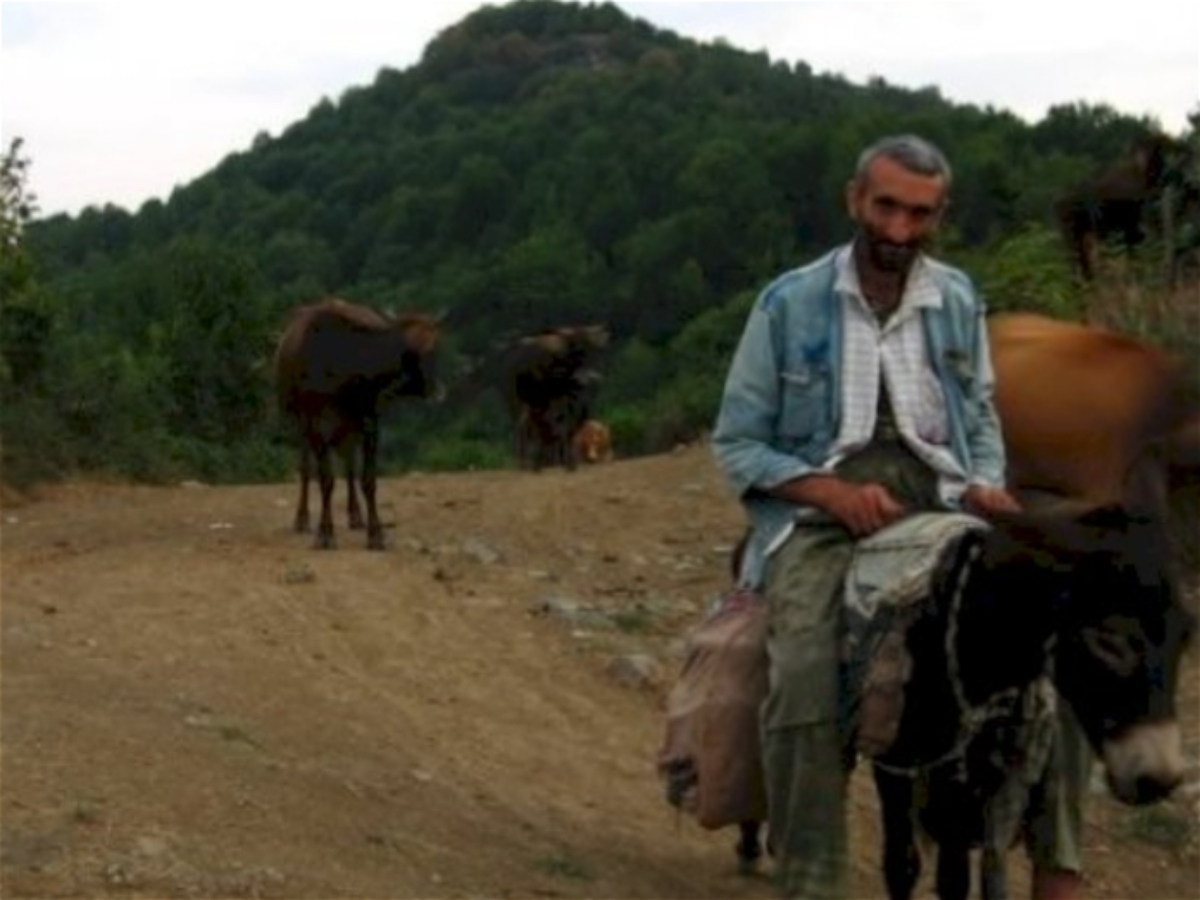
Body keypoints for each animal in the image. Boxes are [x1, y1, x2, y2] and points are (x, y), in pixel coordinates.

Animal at [274, 300, 444, 549]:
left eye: (432, 348)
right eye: (404, 350)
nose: (433, 389)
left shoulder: (369, 421)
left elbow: (368, 480)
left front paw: (376, 533)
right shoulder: (314, 422)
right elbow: (325, 479)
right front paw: (325, 533)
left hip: (348, 429)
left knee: (349, 466)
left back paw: (355, 516)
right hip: (301, 423)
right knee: (306, 468)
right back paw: (302, 519)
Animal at [1056, 131, 1185, 282]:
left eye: (1155, 148)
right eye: (1137, 150)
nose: (1143, 162)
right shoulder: (1130, 226)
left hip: (1083, 235)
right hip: (1074, 236)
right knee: (1078, 261)